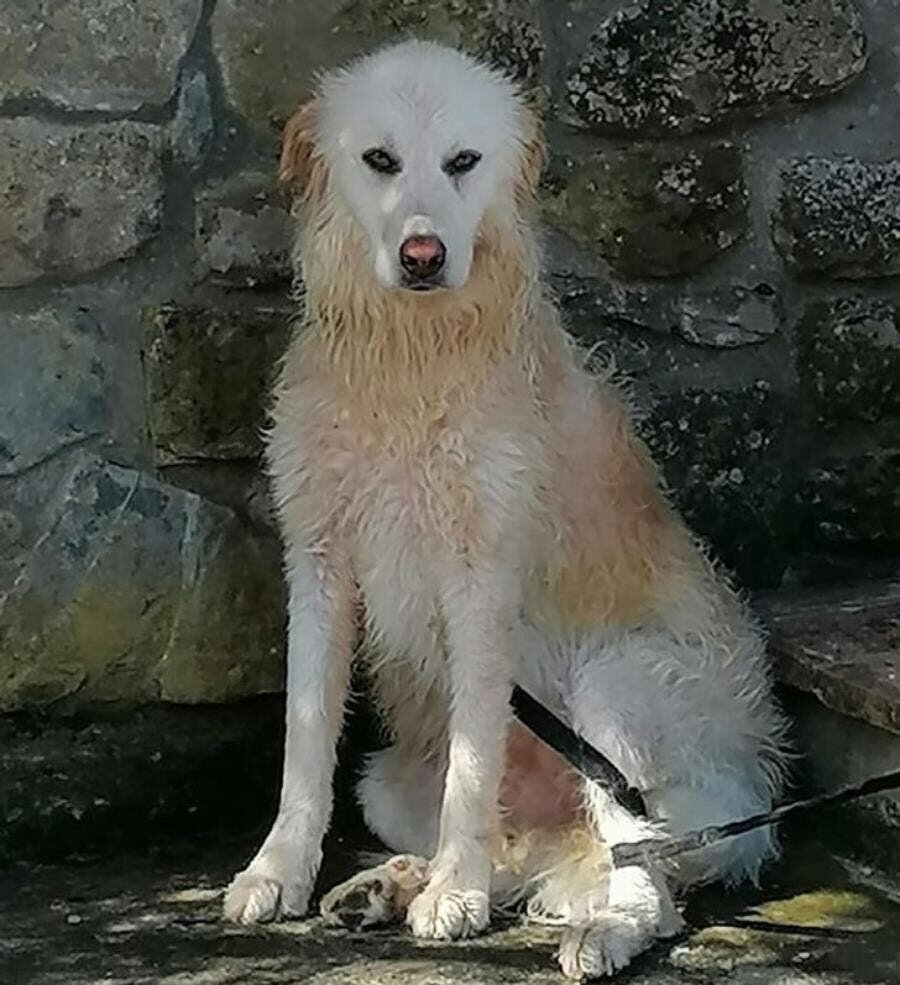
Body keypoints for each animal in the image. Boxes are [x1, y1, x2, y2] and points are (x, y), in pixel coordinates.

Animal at [223, 42, 788, 980]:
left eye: (463, 161)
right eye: (379, 160)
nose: (423, 254)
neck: (411, 361)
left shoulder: (479, 585)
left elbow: (472, 762)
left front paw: (457, 893)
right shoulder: (320, 567)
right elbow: (306, 747)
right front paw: (279, 870)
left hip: (615, 691)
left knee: (648, 877)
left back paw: (594, 928)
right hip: (386, 784)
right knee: (524, 850)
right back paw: (390, 884)